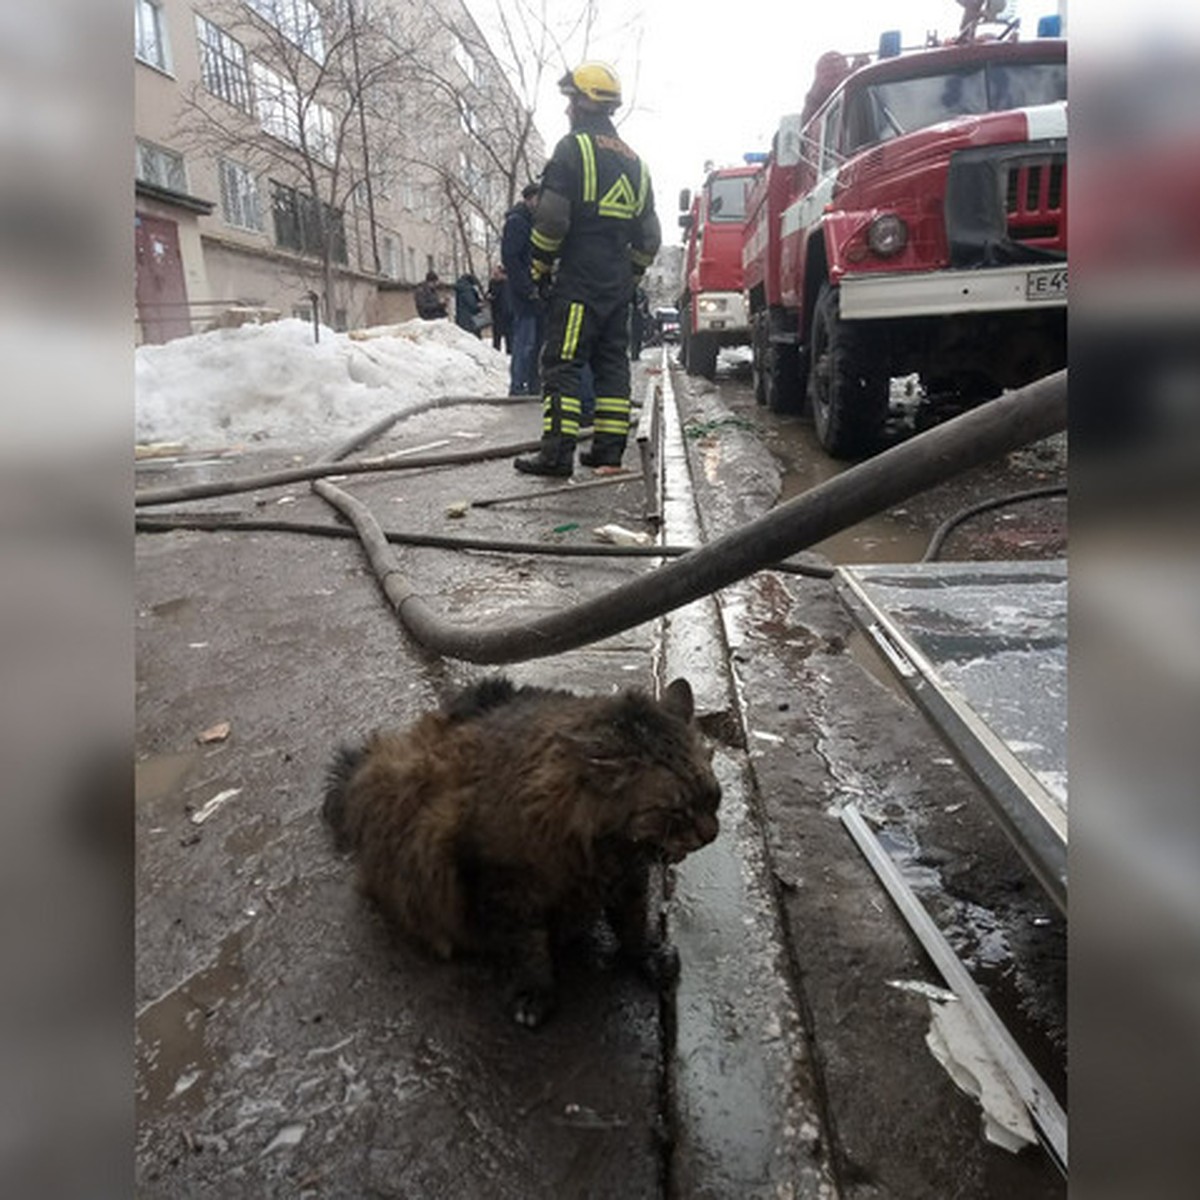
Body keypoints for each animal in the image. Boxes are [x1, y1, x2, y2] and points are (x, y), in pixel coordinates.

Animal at [321, 681, 720, 1027]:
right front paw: (534, 992)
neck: (598, 849)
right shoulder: (505, 888)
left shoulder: (628, 878)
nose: (710, 834)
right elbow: (529, 946)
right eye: (677, 811)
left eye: (713, 797)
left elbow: (634, 924)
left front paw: (647, 956)